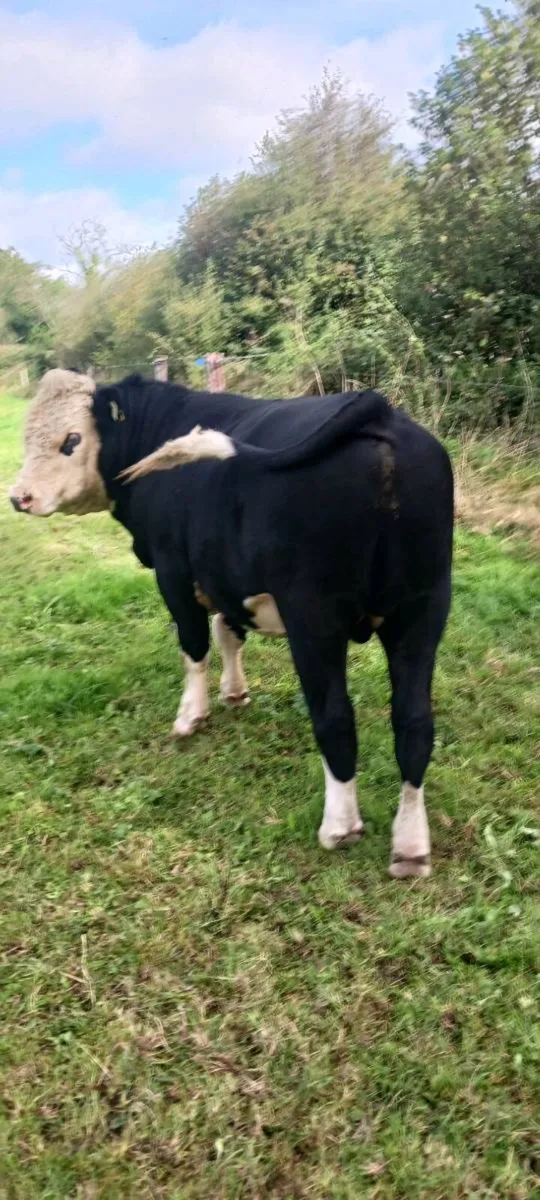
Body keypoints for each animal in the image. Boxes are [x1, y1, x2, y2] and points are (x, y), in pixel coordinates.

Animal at [10, 369, 453, 878]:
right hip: (423, 608)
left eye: (71, 439)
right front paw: (235, 692)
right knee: (414, 722)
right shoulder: (224, 576)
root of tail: (379, 412)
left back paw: (340, 826)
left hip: (315, 616)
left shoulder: (174, 572)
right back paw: (411, 847)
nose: (19, 497)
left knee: (335, 717)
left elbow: (195, 644)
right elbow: (228, 632)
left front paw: (191, 715)